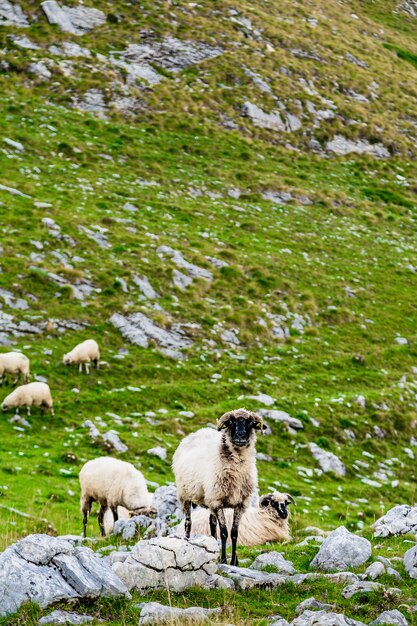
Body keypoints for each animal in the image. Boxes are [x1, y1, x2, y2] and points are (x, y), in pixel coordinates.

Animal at [171, 404, 264, 564]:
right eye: (231, 423)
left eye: (250, 423)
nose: (240, 436)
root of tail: (197, 432)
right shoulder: (217, 500)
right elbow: (225, 532)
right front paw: (224, 560)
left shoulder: (240, 504)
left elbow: (234, 533)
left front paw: (233, 562)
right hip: (185, 496)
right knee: (188, 523)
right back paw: (187, 542)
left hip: (209, 499)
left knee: (212, 524)